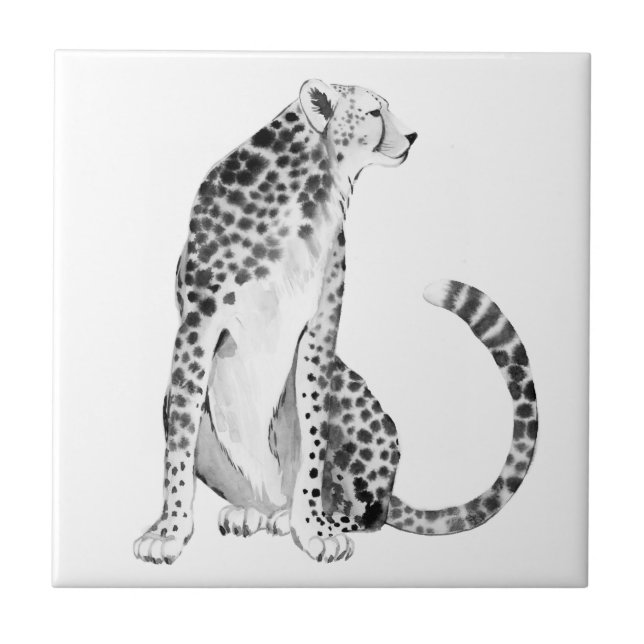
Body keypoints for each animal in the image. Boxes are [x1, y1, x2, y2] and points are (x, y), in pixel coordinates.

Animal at [133, 79, 539, 564]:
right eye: (374, 113)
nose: (413, 135)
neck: (311, 187)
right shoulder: (197, 324)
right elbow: (179, 438)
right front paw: (169, 530)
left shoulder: (321, 327)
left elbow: (313, 437)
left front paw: (313, 529)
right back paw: (252, 513)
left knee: (372, 514)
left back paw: (300, 518)